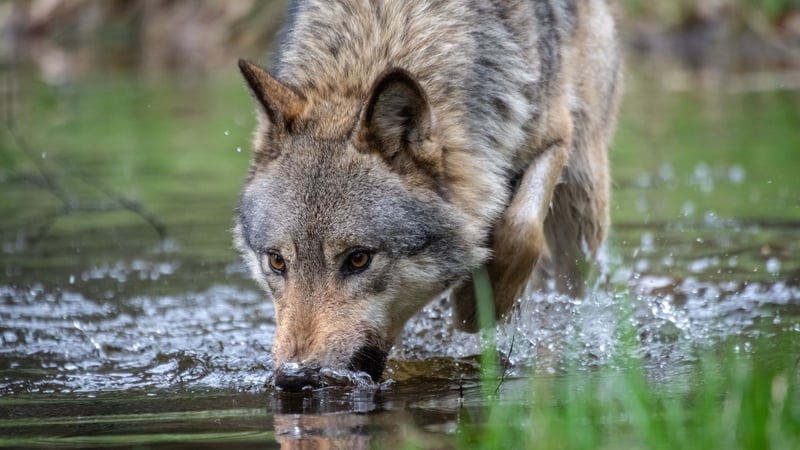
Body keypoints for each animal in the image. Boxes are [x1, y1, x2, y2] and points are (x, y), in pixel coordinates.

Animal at [234, 0, 622, 391]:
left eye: (358, 259)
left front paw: (476, 306)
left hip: (582, 193)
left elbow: (521, 229)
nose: (294, 378)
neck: (382, 35)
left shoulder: (554, 135)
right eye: (277, 262)